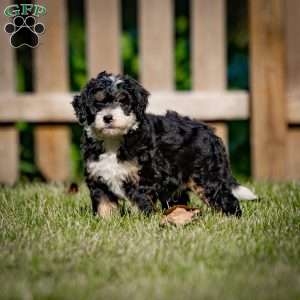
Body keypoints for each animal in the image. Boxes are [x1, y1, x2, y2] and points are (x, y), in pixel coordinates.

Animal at [72, 72, 255, 219]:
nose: (108, 118)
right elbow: (104, 206)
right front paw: (107, 222)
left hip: (206, 176)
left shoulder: (143, 178)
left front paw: (142, 222)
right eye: (98, 103)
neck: (114, 140)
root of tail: (210, 132)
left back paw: (231, 218)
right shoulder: (98, 178)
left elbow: (141, 203)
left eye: (123, 102)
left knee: (225, 198)